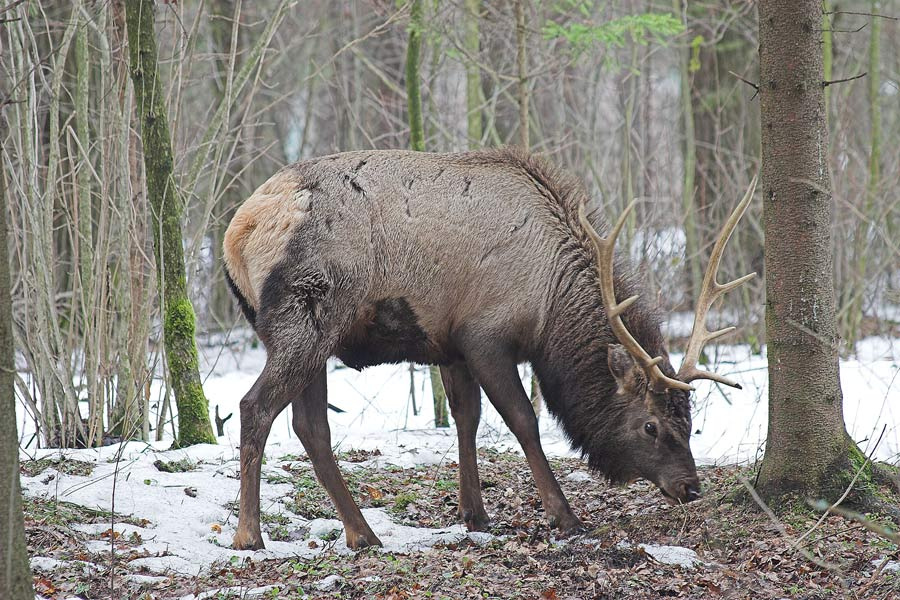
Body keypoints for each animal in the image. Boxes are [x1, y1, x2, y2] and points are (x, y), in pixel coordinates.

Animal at [223, 148, 756, 550]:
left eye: (690, 418)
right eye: (651, 425)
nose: (691, 486)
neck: (549, 309)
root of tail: (236, 232)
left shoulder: (450, 345)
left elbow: (467, 418)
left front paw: (475, 515)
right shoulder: (485, 337)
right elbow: (524, 421)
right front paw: (565, 517)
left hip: (314, 335)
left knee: (309, 426)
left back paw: (362, 532)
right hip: (307, 319)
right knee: (255, 407)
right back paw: (250, 535)